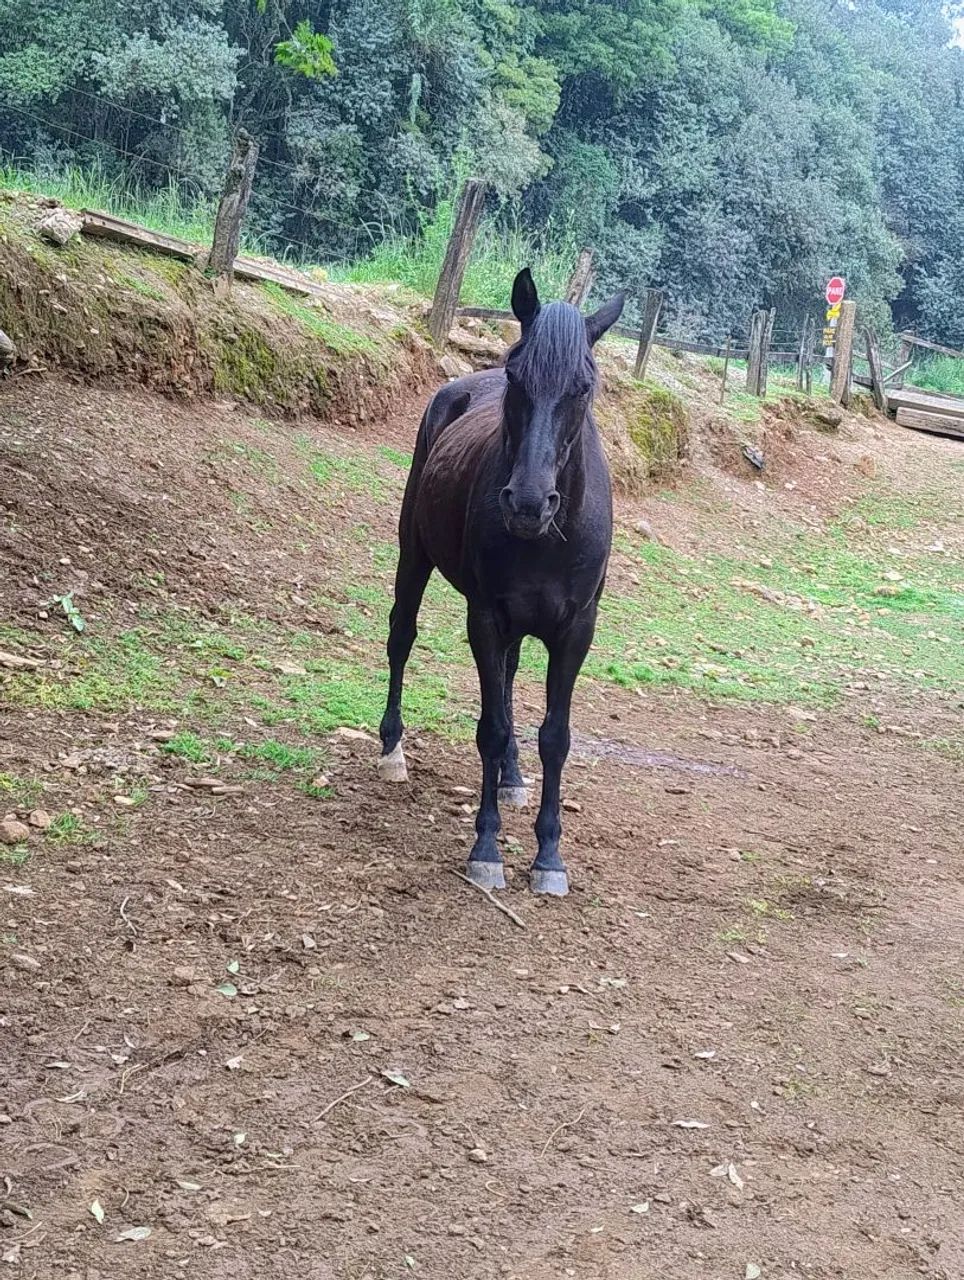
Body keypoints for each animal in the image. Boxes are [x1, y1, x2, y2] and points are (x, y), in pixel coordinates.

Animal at [377, 268, 625, 896]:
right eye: (517, 376)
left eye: (583, 387)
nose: (528, 504)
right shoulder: (486, 618)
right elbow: (489, 727)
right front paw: (487, 849)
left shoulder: (575, 631)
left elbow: (555, 737)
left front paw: (549, 858)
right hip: (413, 554)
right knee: (401, 637)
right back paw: (392, 748)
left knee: (511, 681)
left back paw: (513, 776)